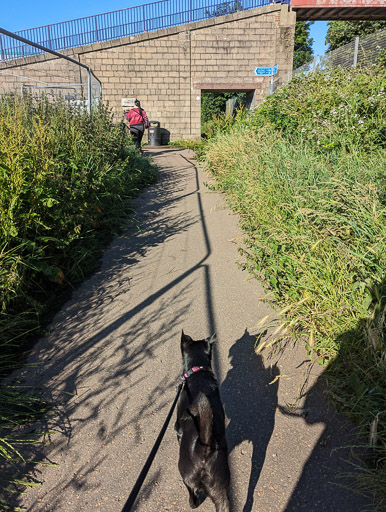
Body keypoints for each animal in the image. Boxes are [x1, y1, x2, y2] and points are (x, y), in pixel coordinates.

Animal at [174, 330, 229, 510]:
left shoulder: (177, 428)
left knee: (191, 493)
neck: (198, 371)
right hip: (220, 491)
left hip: (186, 476)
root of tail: (204, 450)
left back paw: (193, 503)